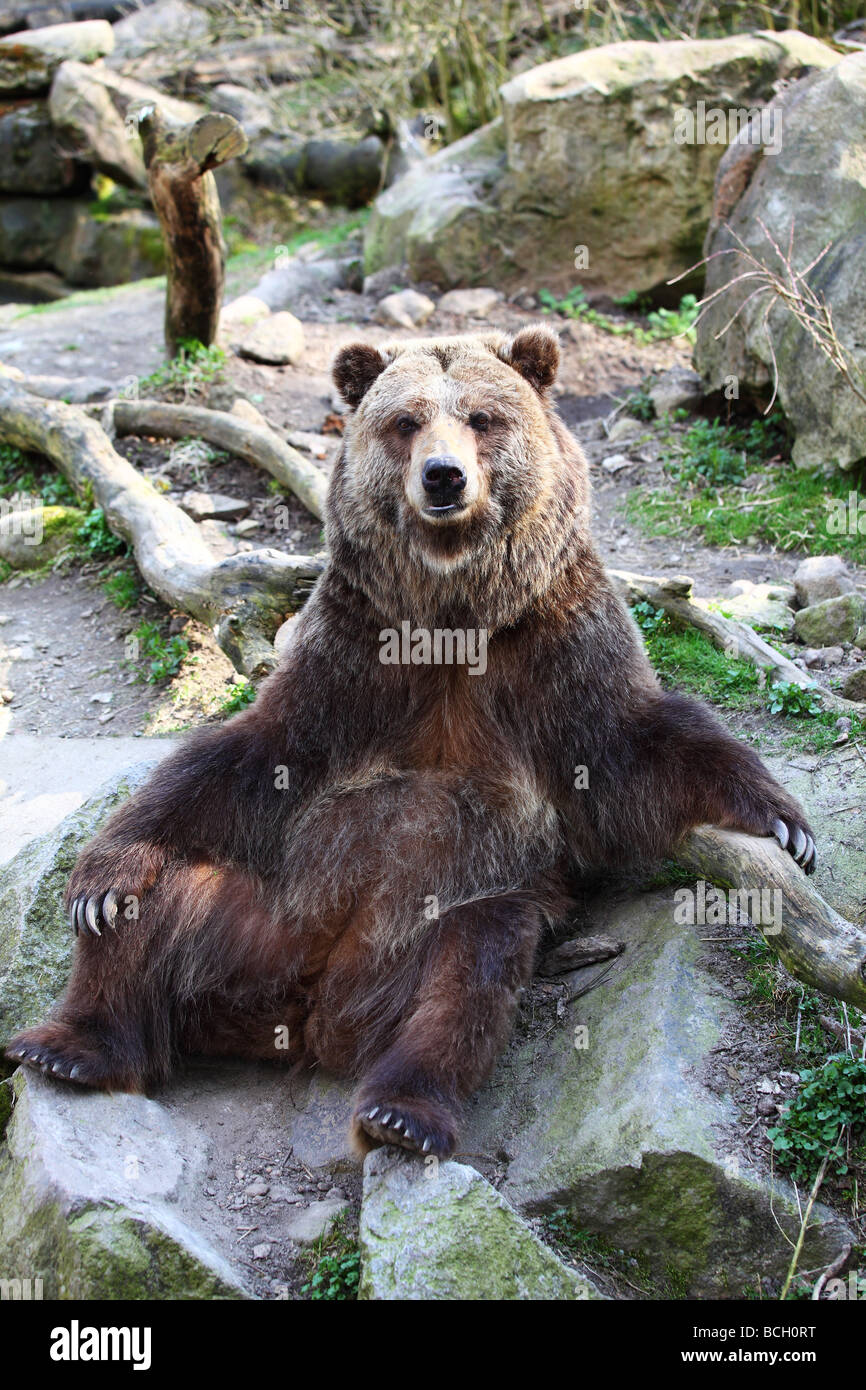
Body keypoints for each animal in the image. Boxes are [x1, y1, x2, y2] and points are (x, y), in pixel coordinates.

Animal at [3, 328, 817, 1162]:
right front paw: (98, 878)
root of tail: (309, 1014)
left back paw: (402, 1110)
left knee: (466, 976)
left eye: (484, 417)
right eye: (406, 421)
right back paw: (69, 1040)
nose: (443, 475)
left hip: (454, 914)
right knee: (159, 907)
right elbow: (248, 757)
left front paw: (781, 820)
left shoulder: (553, 646)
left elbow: (631, 747)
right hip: (253, 909)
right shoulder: (352, 656)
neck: (452, 613)